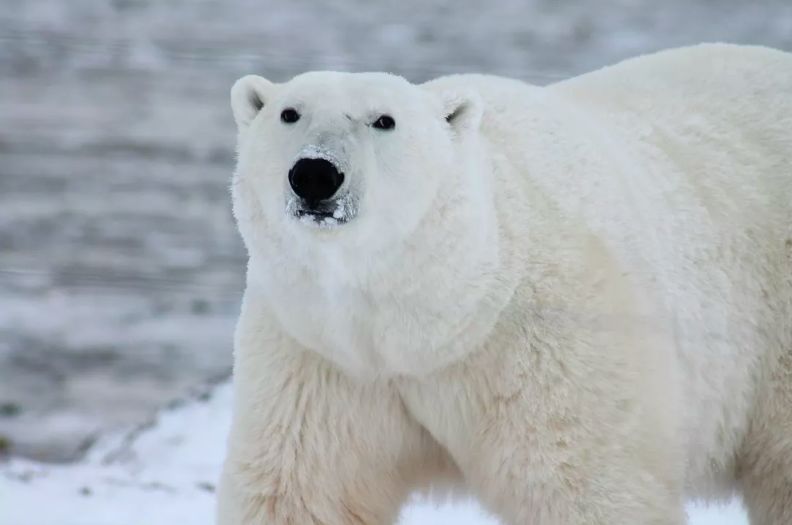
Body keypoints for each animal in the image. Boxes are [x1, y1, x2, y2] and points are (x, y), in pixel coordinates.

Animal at [218, 45, 792, 524]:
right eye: (289, 113)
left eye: (384, 120)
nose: (315, 174)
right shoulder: (321, 356)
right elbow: (304, 490)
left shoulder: (548, 344)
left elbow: (584, 486)